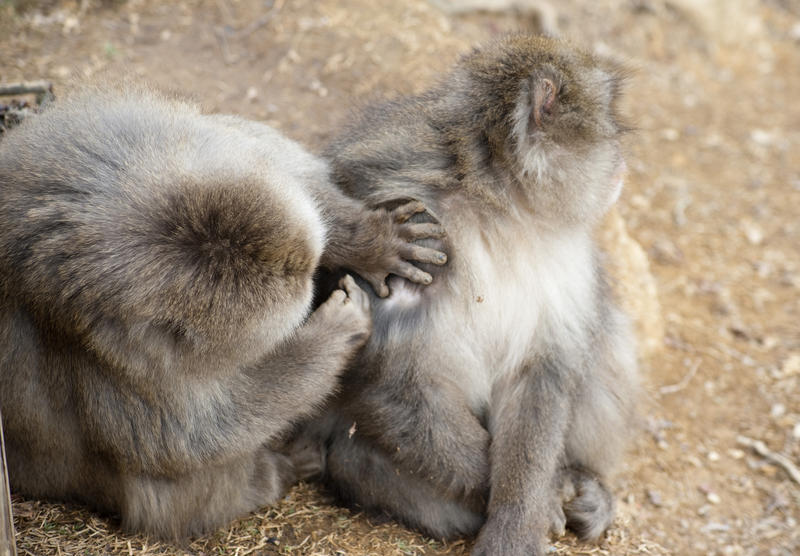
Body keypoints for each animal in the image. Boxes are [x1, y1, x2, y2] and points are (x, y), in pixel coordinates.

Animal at [0, 87, 446, 540]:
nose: (316, 274)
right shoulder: (118, 350)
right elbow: (188, 439)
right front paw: (336, 331)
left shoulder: (141, 141)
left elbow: (275, 157)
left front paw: (369, 245)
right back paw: (277, 471)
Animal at [290, 34, 640, 556]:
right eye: (608, 127)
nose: (621, 162)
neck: (500, 207)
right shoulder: (416, 223)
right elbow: (389, 375)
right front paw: (538, 507)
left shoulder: (565, 262)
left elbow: (543, 372)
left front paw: (522, 514)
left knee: (606, 333)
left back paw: (587, 483)